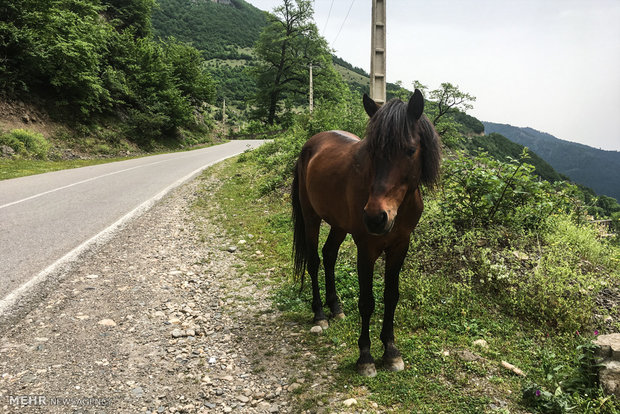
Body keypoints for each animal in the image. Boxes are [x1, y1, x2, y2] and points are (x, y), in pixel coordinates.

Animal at [290, 90, 440, 376]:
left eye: (410, 150)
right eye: (372, 152)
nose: (375, 217)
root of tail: (310, 145)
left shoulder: (400, 246)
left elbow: (391, 297)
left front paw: (391, 352)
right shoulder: (366, 249)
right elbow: (367, 301)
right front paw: (366, 356)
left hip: (338, 225)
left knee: (329, 255)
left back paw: (335, 307)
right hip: (311, 217)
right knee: (315, 261)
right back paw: (320, 314)